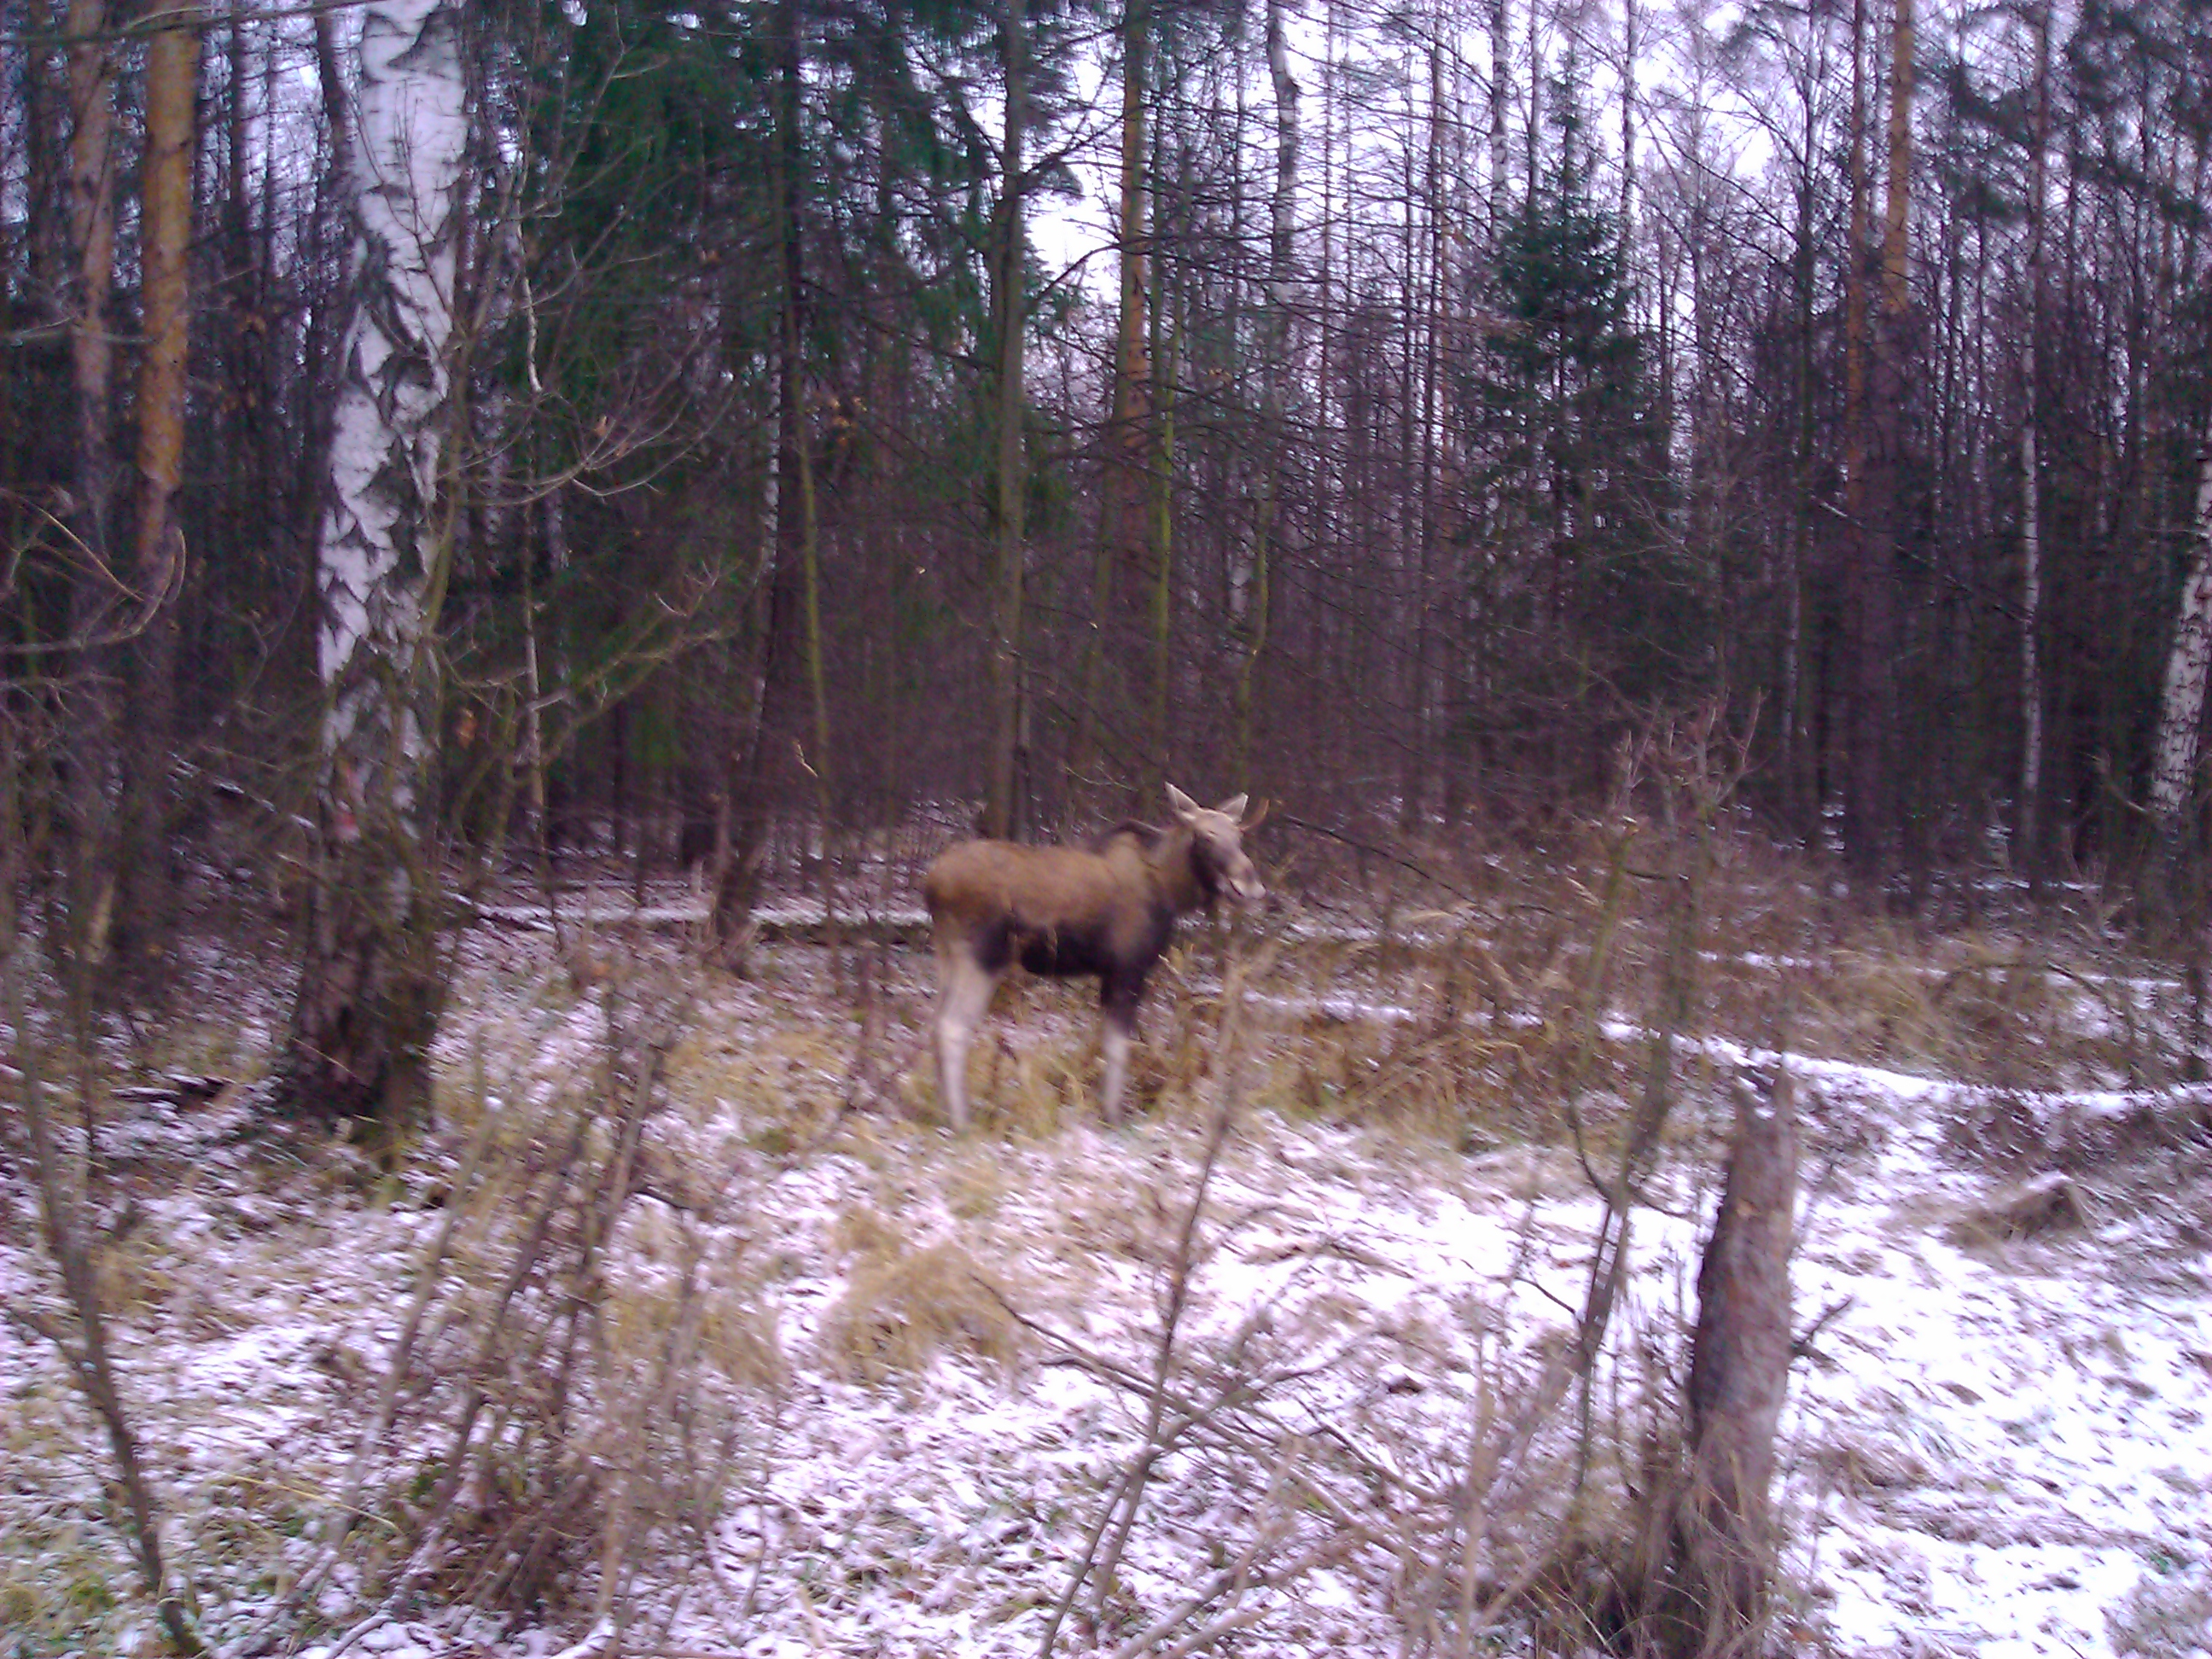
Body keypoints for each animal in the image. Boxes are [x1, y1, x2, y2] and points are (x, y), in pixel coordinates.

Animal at [921, 785, 1267, 1129]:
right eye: (1205, 837)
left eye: (1238, 837)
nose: (1250, 887)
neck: (1171, 891)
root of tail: (932, 884)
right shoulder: (1128, 969)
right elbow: (1118, 1048)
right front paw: (1113, 1115)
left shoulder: (1110, 974)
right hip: (981, 956)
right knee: (952, 1026)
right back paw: (961, 1120)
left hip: (947, 953)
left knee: (936, 1023)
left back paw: (943, 1109)